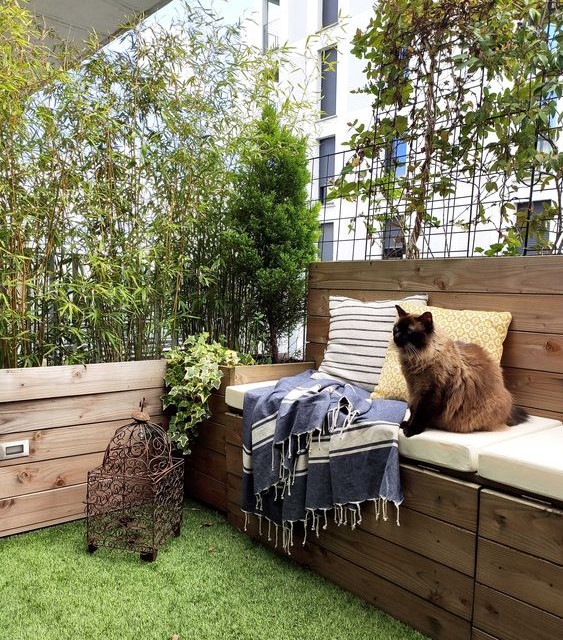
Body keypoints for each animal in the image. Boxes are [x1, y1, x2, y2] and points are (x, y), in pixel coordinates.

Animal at [392, 304, 528, 436]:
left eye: (409, 332)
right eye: (396, 329)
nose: (396, 336)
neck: (416, 359)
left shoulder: (430, 392)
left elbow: (420, 414)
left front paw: (411, 429)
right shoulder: (413, 390)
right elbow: (413, 409)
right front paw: (406, 424)